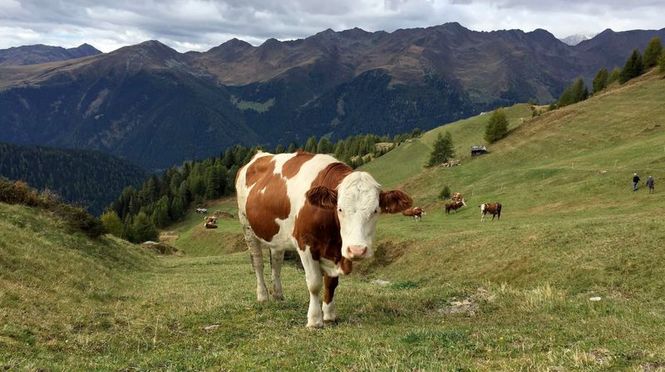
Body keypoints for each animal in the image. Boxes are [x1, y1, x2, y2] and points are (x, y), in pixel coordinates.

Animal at [233, 150, 410, 326]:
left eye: (375, 211)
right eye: (340, 209)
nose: (357, 250)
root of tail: (259, 155)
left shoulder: (336, 250)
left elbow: (331, 283)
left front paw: (330, 315)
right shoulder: (305, 244)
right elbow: (314, 283)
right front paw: (314, 320)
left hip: (277, 236)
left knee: (276, 262)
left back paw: (278, 295)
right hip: (246, 226)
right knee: (257, 262)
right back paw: (263, 296)